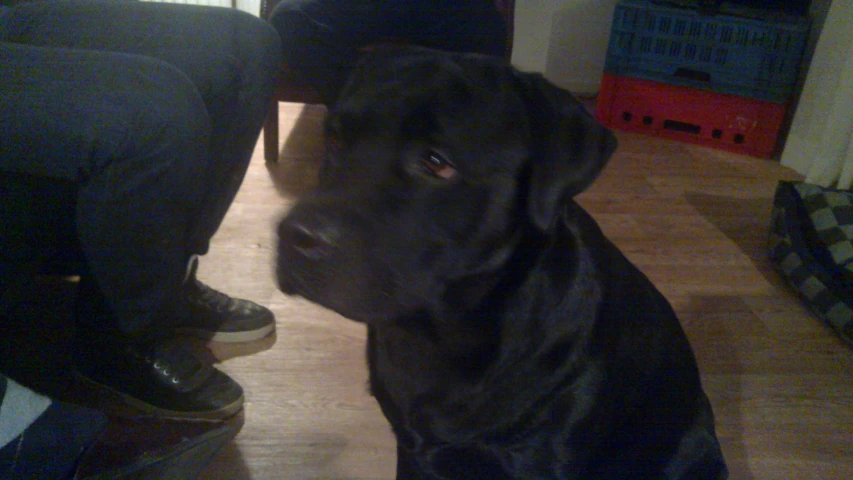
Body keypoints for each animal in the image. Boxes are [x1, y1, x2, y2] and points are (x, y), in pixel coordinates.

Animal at [278, 47, 724, 478]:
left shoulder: (539, 461)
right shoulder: (412, 450)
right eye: (335, 140)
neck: (439, 334)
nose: (295, 236)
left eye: (436, 162)